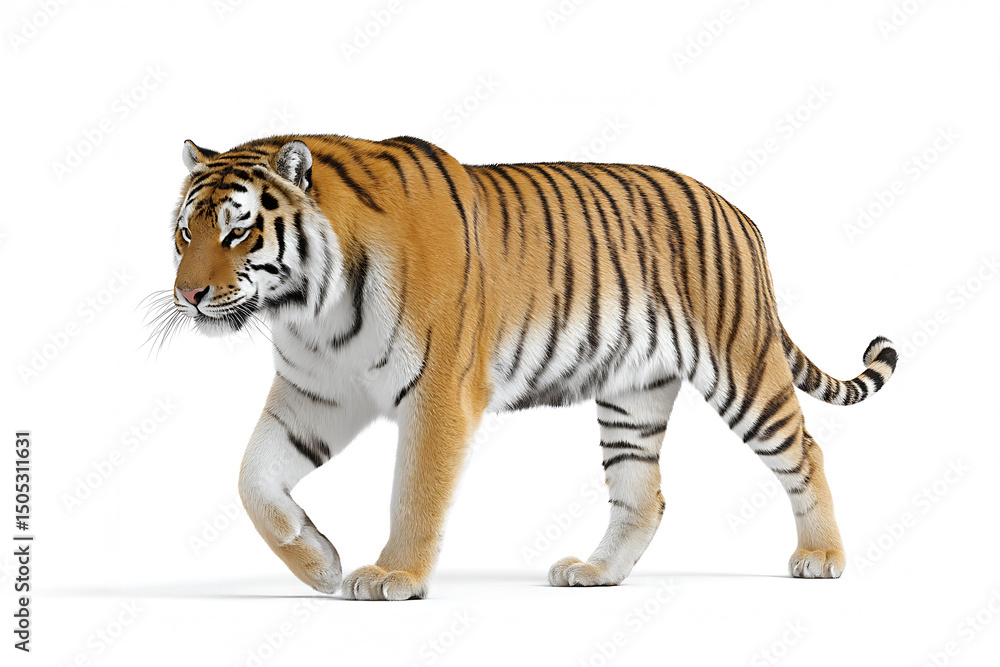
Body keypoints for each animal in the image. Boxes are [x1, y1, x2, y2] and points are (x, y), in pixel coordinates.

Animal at [165, 133, 897, 600]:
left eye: (238, 231)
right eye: (185, 231)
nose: (187, 295)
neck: (311, 305)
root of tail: (738, 211)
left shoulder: (438, 394)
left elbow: (413, 492)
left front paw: (394, 576)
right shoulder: (316, 392)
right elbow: (253, 478)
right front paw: (317, 564)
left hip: (741, 366)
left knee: (805, 450)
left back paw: (822, 558)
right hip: (632, 398)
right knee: (643, 496)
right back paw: (596, 574)